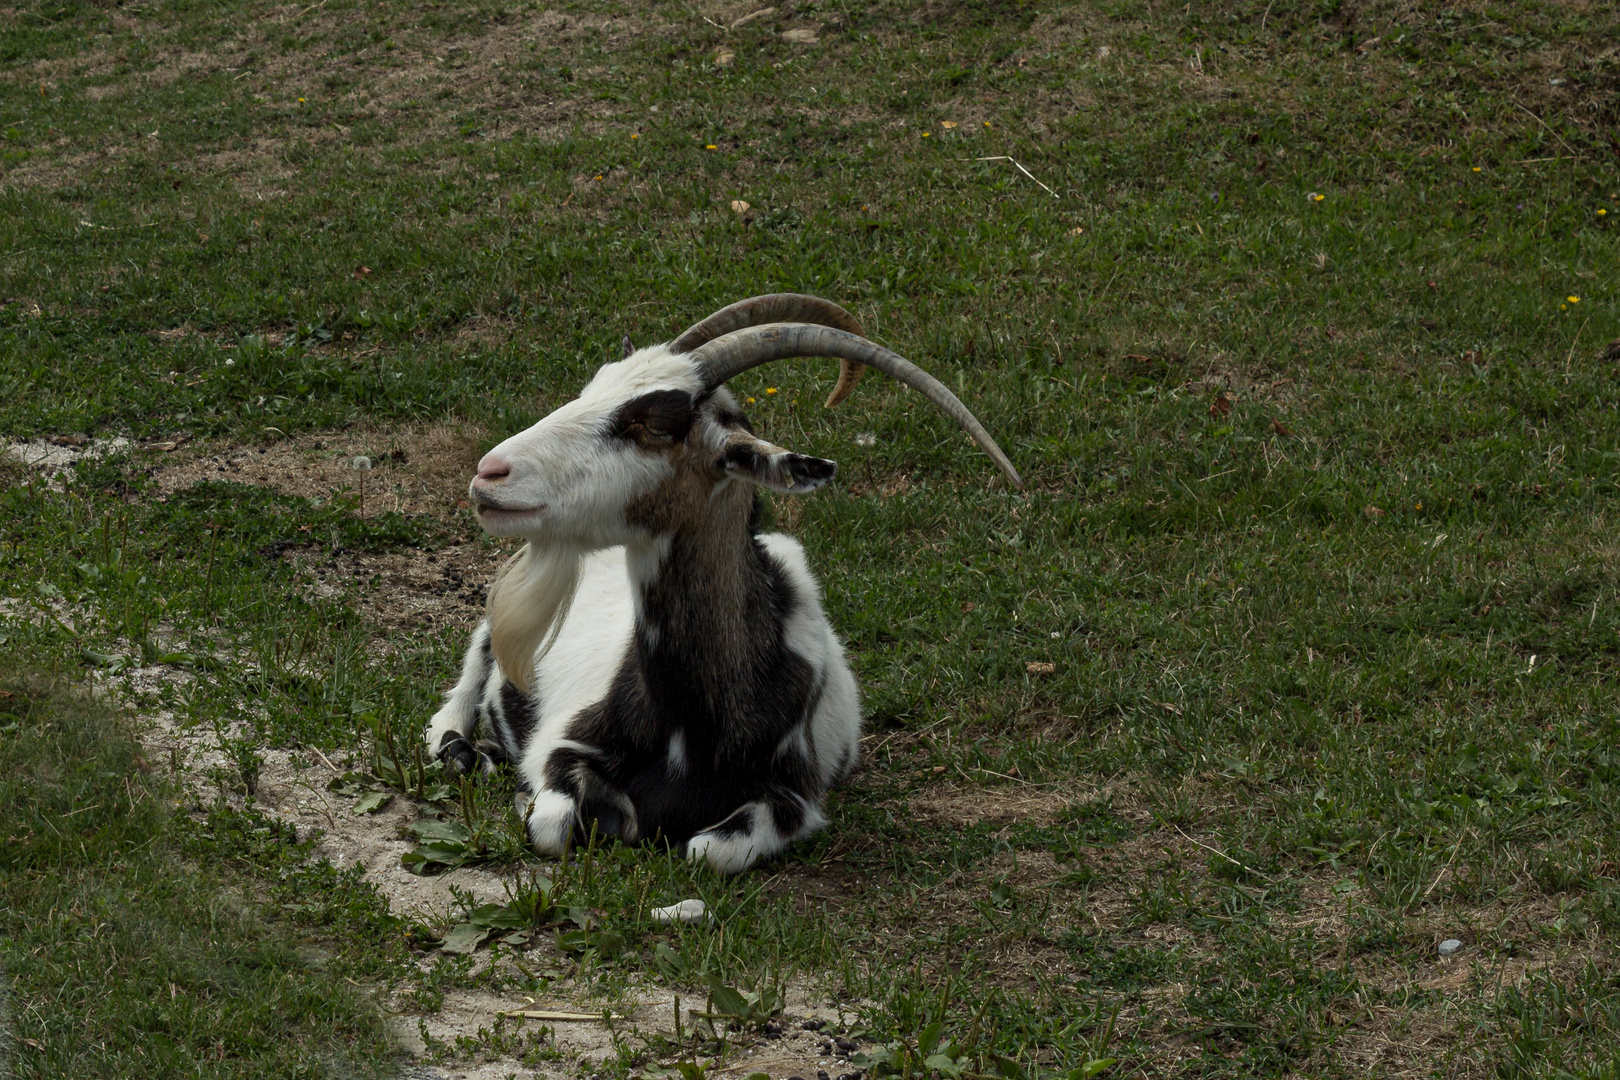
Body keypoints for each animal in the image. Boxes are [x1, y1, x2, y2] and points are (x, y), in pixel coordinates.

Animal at [424, 297, 1017, 880]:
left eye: (654, 424)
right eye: (595, 386)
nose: (490, 473)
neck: (695, 722)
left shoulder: (793, 796)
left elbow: (708, 852)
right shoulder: (561, 744)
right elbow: (553, 826)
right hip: (495, 629)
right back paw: (464, 751)